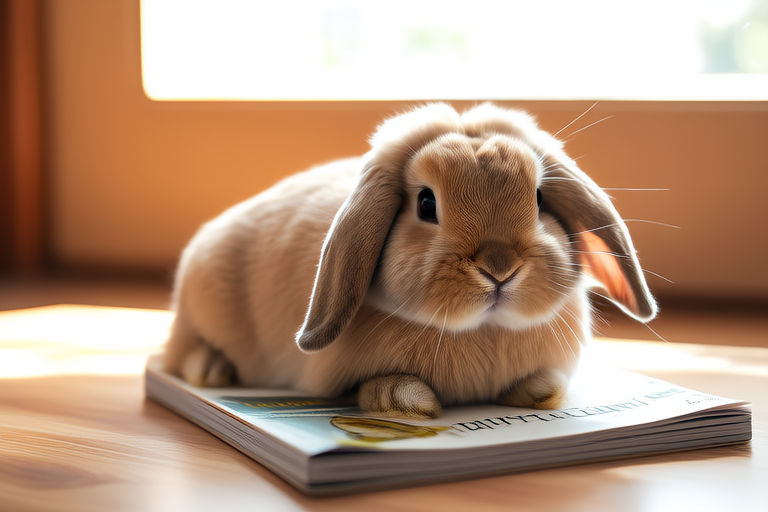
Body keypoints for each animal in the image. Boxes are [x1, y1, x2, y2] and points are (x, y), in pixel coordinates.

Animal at [162, 103, 657, 419]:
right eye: (426, 203)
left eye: (538, 198)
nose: (499, 269)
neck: (481, 332)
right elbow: (369, 389)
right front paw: (407, 400)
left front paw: (543, 391)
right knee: (180, 353)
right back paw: (213, 370)